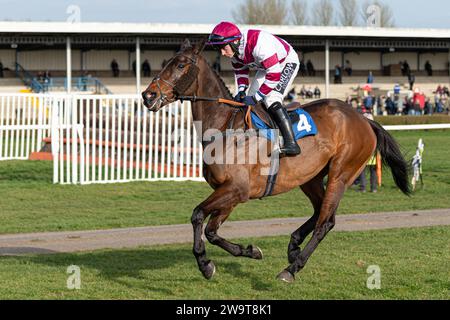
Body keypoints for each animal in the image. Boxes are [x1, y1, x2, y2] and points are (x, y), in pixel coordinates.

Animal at [142, 39, 412, 282]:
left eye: (180, 64)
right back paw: (293, 246)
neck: (226, 127)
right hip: (311, 177)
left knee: (325, 222)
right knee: (319, 212)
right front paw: (249, 251)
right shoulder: (229, 193)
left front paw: (204, 263)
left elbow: (197, 215)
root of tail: (364, 119)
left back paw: (292, 268)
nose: (148, 95)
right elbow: (211, 231)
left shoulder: (236, 189)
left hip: (341, 173)